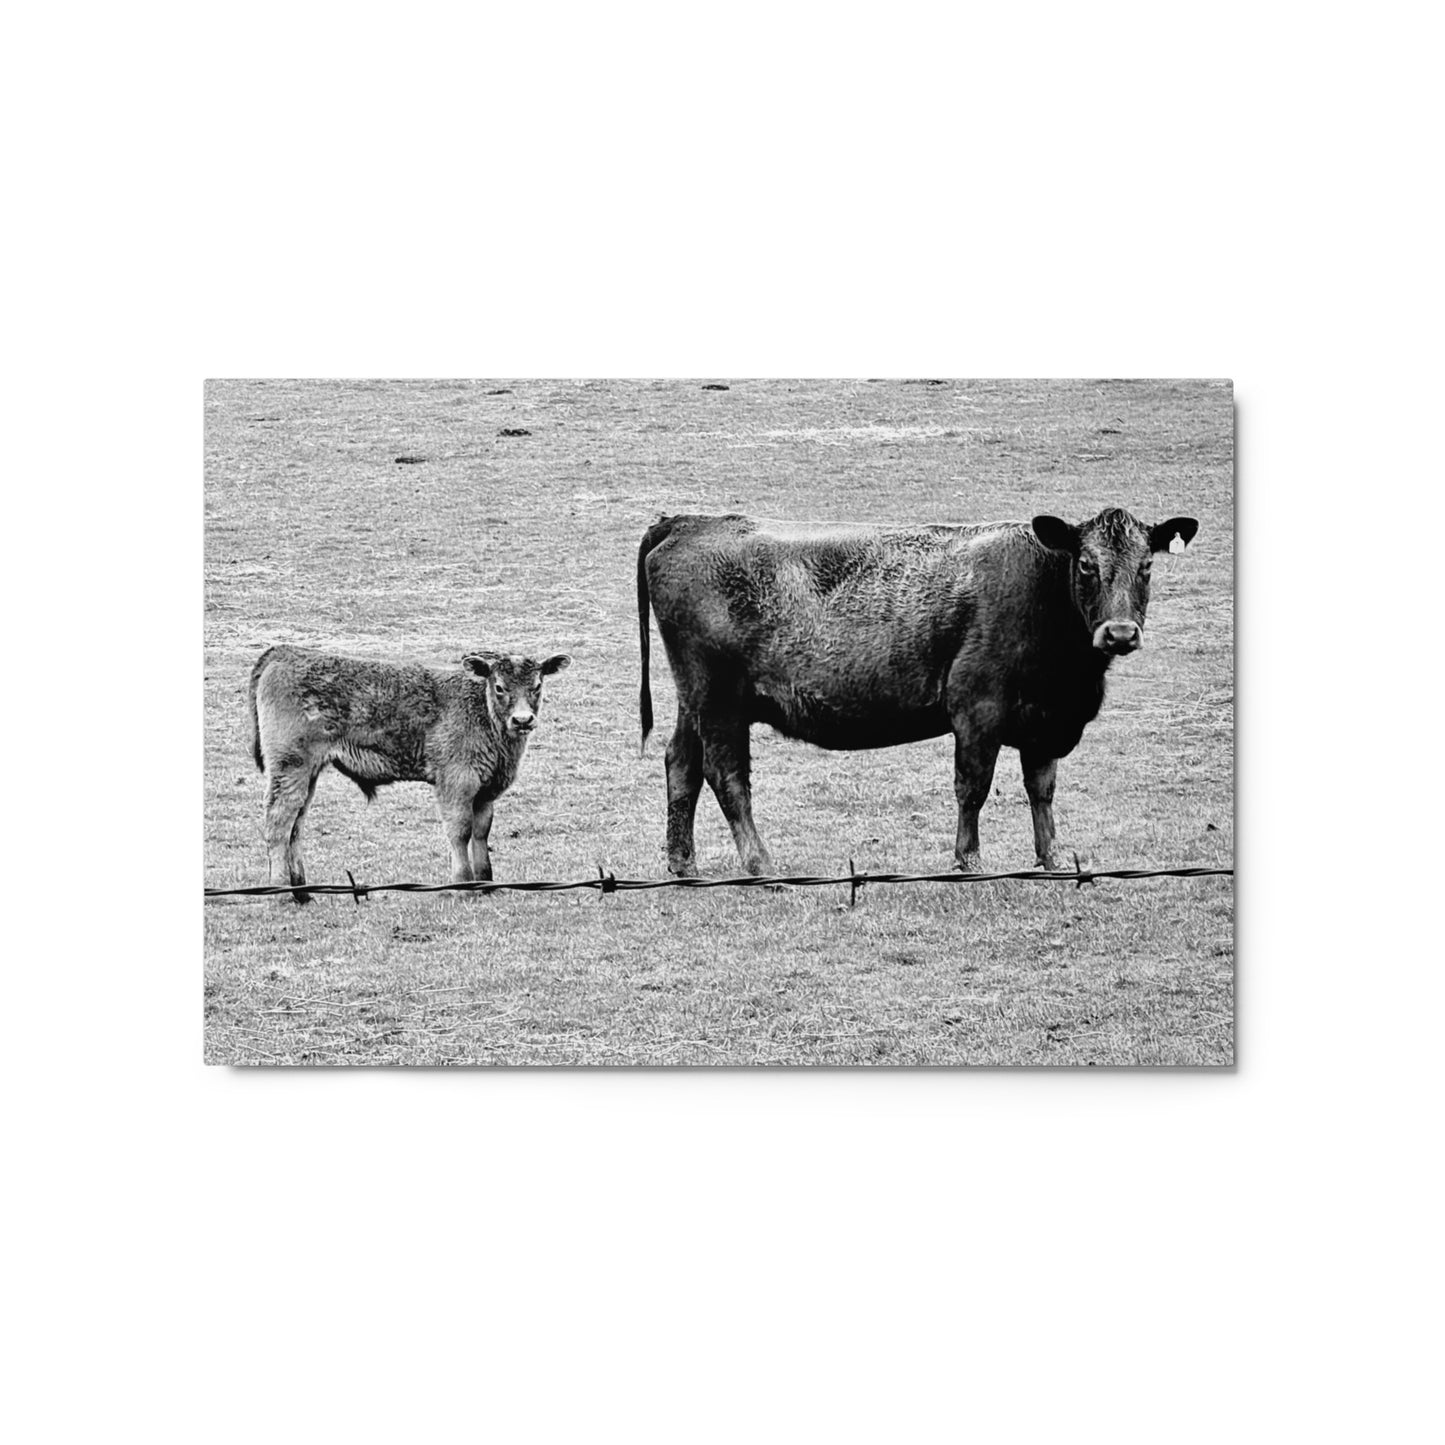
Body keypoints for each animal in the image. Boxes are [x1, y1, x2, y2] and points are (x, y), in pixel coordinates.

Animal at [249, 645, 570, 900]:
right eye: (500, 687)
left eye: (537, 685)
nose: (523, 720)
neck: (482, 713)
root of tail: (285, 652)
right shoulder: (456, 783)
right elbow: (460, 831)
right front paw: (463, 886)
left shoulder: (485, 790)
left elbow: (481, 832)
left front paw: (486, 884)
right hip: (290, 766)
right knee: (279, 822)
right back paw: (282, 893)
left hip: (307, 773)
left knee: (296, 825)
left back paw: (302, 891)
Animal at [636, 507, 1198, 877]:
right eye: (1085, 564)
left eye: (1147, 565)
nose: (1120, 634)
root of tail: (688, 521)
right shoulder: (977, 708)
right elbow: (972, 787)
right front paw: (969, 859)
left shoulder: (1044, 723)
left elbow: (1041, 789)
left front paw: (1052, 859)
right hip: (719, 701)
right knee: (726, 776)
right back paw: (761, 864)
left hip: (695, 700)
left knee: (681, 764)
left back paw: (683, 863)